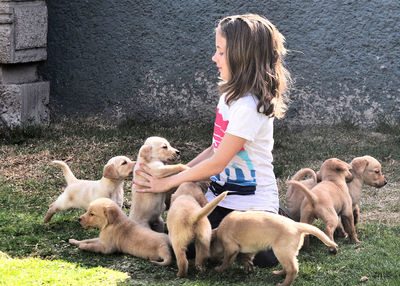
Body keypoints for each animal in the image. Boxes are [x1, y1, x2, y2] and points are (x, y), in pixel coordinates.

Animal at [209, 210, 338, 286]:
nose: (210, 262)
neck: (220, 232)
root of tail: (296, 225)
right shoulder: (249, 249)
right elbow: (245, 258)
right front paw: (248, 266)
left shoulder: (231, 247)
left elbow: (227, 261)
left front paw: (219, 268)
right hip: (286, 253)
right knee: (289, 267)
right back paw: (279, 273)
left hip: (281, 251)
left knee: (293, 269)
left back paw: (283, 284)